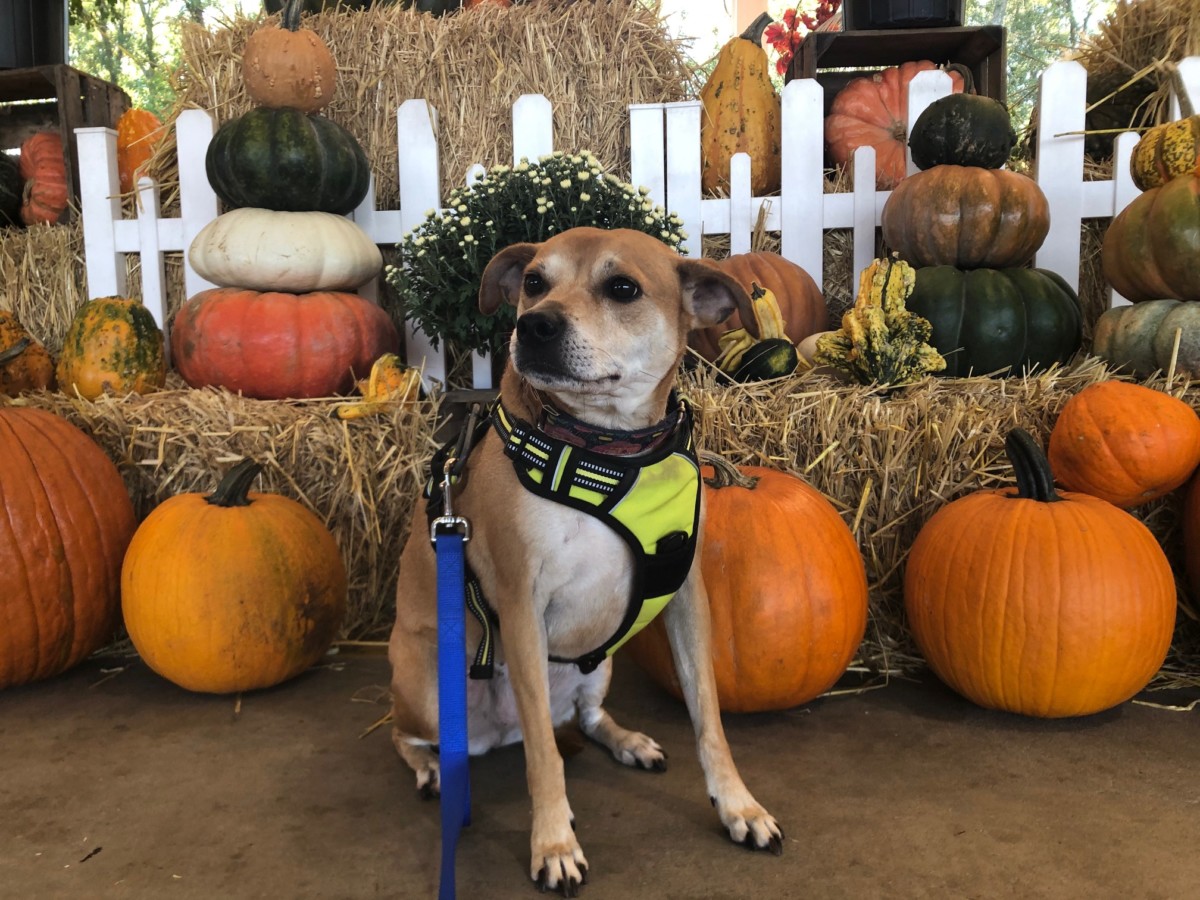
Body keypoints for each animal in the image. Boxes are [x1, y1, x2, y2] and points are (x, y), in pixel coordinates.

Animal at [391, 226, 787, 897]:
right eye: (533, 283)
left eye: (622, 288)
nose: (534, 326)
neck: (608, 449)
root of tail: (493, 735)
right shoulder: (522, 606)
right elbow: (544, 760)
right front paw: (553, 842)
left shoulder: (687, 596)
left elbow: (708, 718)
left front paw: (738, 805)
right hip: (425, 681)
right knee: (414, 734)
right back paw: (433, 770)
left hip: (597, 667)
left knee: (586, 715)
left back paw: (627, 740)